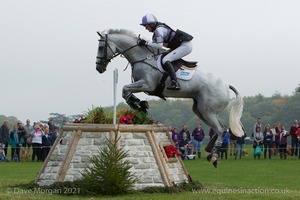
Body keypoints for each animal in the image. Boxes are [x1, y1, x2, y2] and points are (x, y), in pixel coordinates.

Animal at [95, 28, 245, 167]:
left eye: (101, 47)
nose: (98, 68)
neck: (143, 57)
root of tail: (226, 85)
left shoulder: (147, 84)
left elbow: (125, 89)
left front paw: (137, 103)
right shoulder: (142, 85)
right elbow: (125, 92)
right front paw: (140, 104)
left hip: (207, 110)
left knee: (220, 129)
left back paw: (214, 157)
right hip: (201, 110)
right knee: (222, 128)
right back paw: (209, 151)